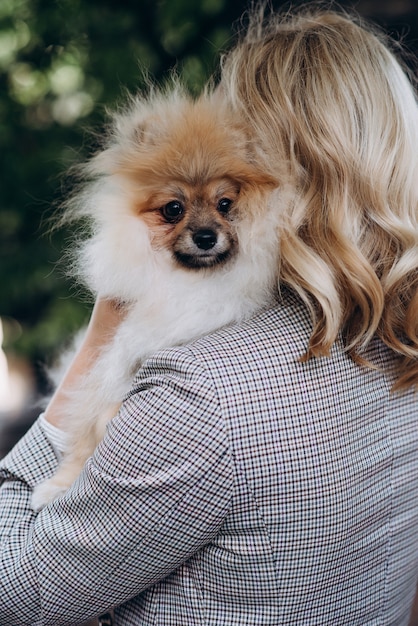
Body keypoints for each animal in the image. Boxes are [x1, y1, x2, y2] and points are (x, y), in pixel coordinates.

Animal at [31, 85, 280, 510]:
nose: (205, 236)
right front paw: (58, 484)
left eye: (225, 204)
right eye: (173, 209)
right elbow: (85, 428)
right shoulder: (109, 362)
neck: (183, 281)